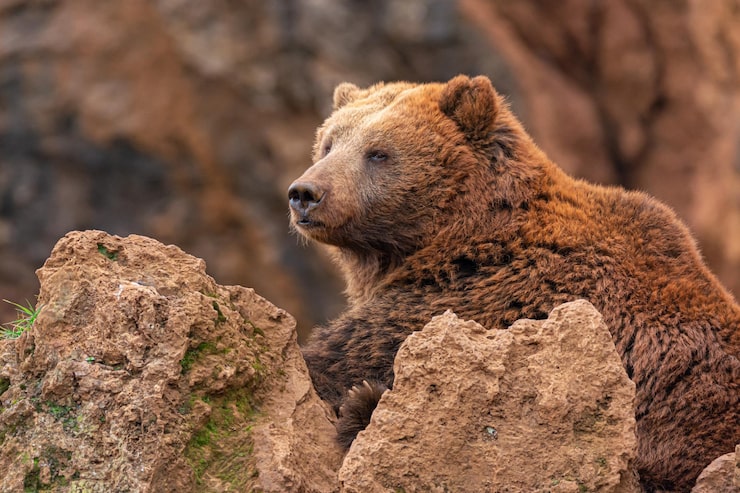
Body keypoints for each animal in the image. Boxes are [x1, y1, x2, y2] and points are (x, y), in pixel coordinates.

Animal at [287, 75, 740, 492]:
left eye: (378, 152)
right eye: (328, 143)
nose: (305, 192)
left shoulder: (477, 296)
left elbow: (335, 361)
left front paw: (352, 393)